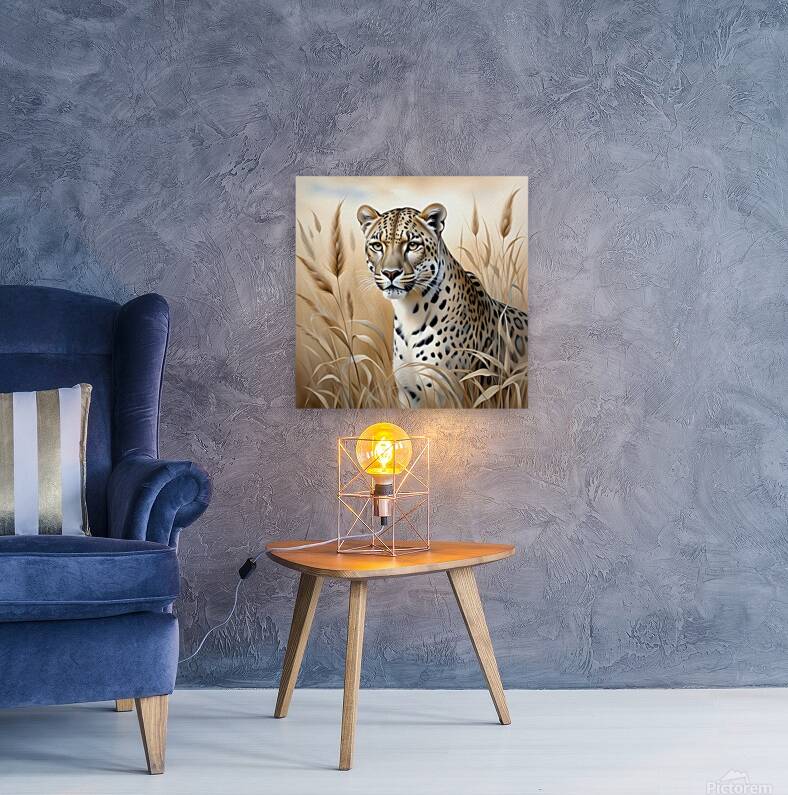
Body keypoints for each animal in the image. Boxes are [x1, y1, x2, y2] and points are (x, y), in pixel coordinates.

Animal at [357, 202, 528, 408]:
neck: (408, 313)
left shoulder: (447, 394)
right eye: (377, 246)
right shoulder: (408, 394)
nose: (390, 273)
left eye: (412, 245)